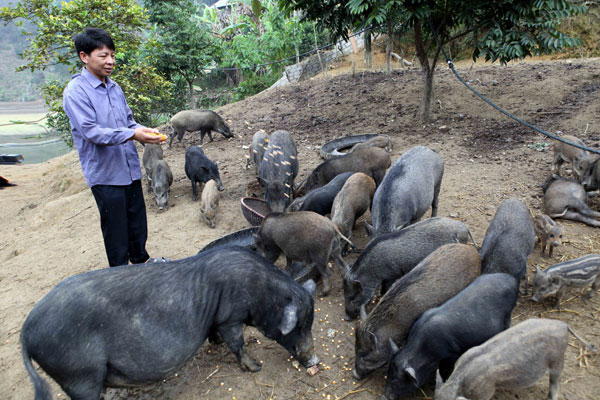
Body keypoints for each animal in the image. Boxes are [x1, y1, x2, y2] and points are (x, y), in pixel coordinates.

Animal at [21, 247, 318, 400]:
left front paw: (215, 343)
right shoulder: (230, 316)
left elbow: (217, 335)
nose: (314, 360)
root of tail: (26, 333)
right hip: (79, 375)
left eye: (309, 322)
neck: (261, 292)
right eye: (300, 325)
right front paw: (255, 367)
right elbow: (238, 343)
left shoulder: (218, 319)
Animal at [382, 274, 516, 398]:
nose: (383, 397)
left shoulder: (452, 353)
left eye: (396, 382)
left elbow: (445, 370)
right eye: (387, 375)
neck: (425, 351)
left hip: (507, 316)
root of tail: (512, 279)